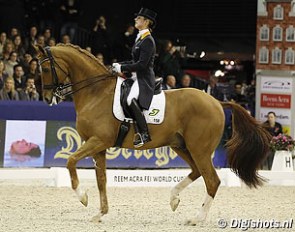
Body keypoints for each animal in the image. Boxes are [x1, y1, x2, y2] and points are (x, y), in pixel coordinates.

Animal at [36, 43, 270, 225]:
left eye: (46, 68)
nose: (47, 98)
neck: (96, 92)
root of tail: (217, 102)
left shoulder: (98, 141)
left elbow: (70, 162)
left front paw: (83, 197)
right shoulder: (98, 146)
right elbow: (101, 179)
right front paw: (99, 214)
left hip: (200, 149)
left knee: (212, 180)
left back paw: (196, 218)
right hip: (181, 145)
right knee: (197, 172)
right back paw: (174, 199)